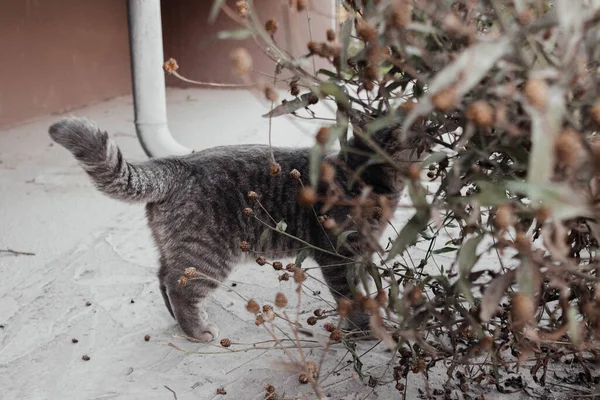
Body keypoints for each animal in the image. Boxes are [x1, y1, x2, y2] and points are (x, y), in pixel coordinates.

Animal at [50, 115, 426, 340]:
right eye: (395, 127)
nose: (426, 126)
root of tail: (176, 164)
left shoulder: (359, 255)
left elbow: (363, 289)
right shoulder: (336, 256)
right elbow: (350, 297)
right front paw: (365, 329)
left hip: (177, 249)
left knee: (163, 278)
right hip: (207, 257)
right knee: (179, 288)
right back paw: (197, 330)